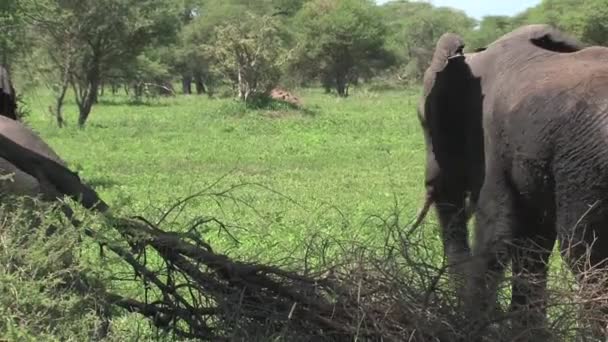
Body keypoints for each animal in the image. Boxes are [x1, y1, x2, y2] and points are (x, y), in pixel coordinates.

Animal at [414, 24, 608, 340]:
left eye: (423, 120)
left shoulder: (492, 142)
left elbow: (496, 232)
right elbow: (532, 244)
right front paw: (526, 334)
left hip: (587, 165)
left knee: (584, 252)